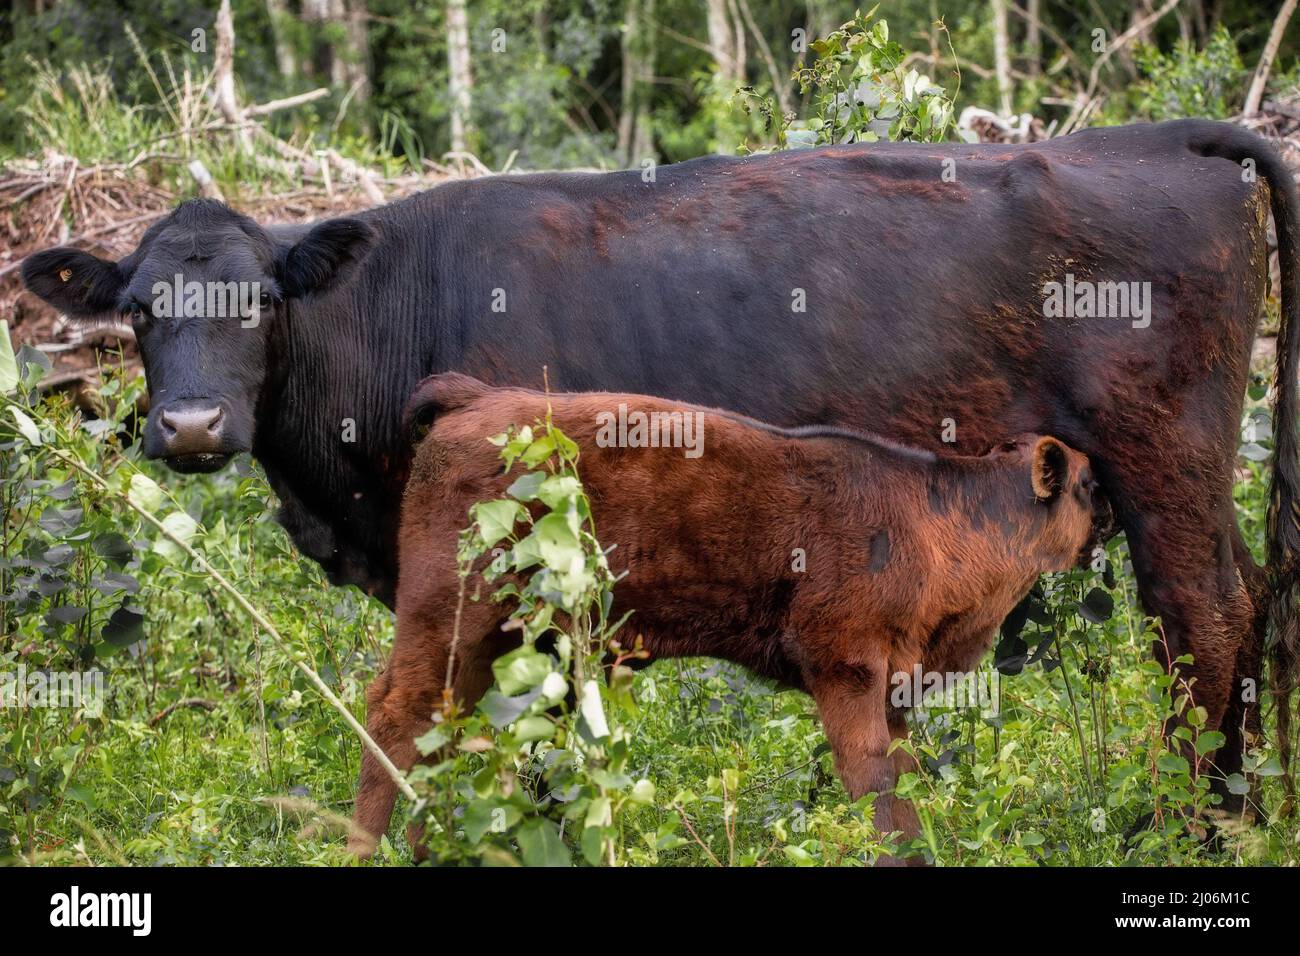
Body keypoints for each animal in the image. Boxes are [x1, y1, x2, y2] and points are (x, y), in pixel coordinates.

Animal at [19, 118, 1300, 811]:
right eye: (139, 308)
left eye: (261, 302)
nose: (191, 425)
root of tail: (1157, 134)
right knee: (1244, 606)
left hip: (1162, 458)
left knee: (1203, 621)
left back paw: (1192, 822)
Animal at [348, 373, 1107, 861]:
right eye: (1088, 484)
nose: (1110, 522)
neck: (939, 517)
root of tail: (476, 399)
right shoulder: (847, 668)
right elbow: (874, 783)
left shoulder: (896, 684)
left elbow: (903, 782)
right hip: (451, 613)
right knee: (396, 711)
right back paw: (356, 848)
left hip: (499, 641)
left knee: (443, 731)